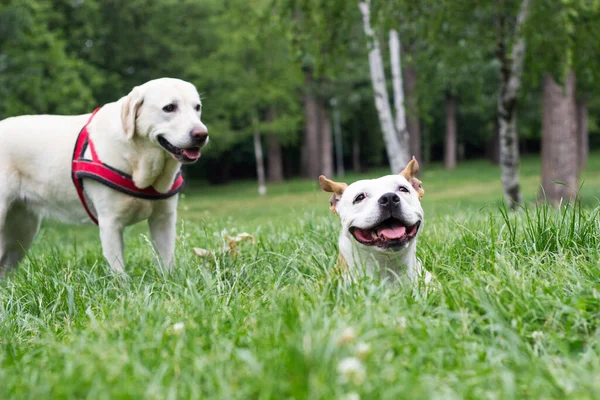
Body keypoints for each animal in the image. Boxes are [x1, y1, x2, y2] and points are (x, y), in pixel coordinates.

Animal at [0, 78, 209, 276]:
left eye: (197, 107)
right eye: (169, 108)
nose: (201, 134)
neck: (138, 159)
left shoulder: (164, 218)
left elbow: (166, 262)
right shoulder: (110, 223)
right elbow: (119, 272)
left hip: (22, 230)